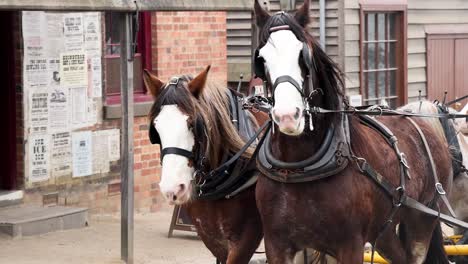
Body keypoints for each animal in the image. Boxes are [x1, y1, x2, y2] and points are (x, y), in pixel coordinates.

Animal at [252, 1, 454, 262]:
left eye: (302, 55)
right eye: (262, 59)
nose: (287, 116)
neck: (299, 167)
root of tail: (426, 129)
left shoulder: (350, 245)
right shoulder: (277, 245)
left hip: (422, 220)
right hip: (385, 230)